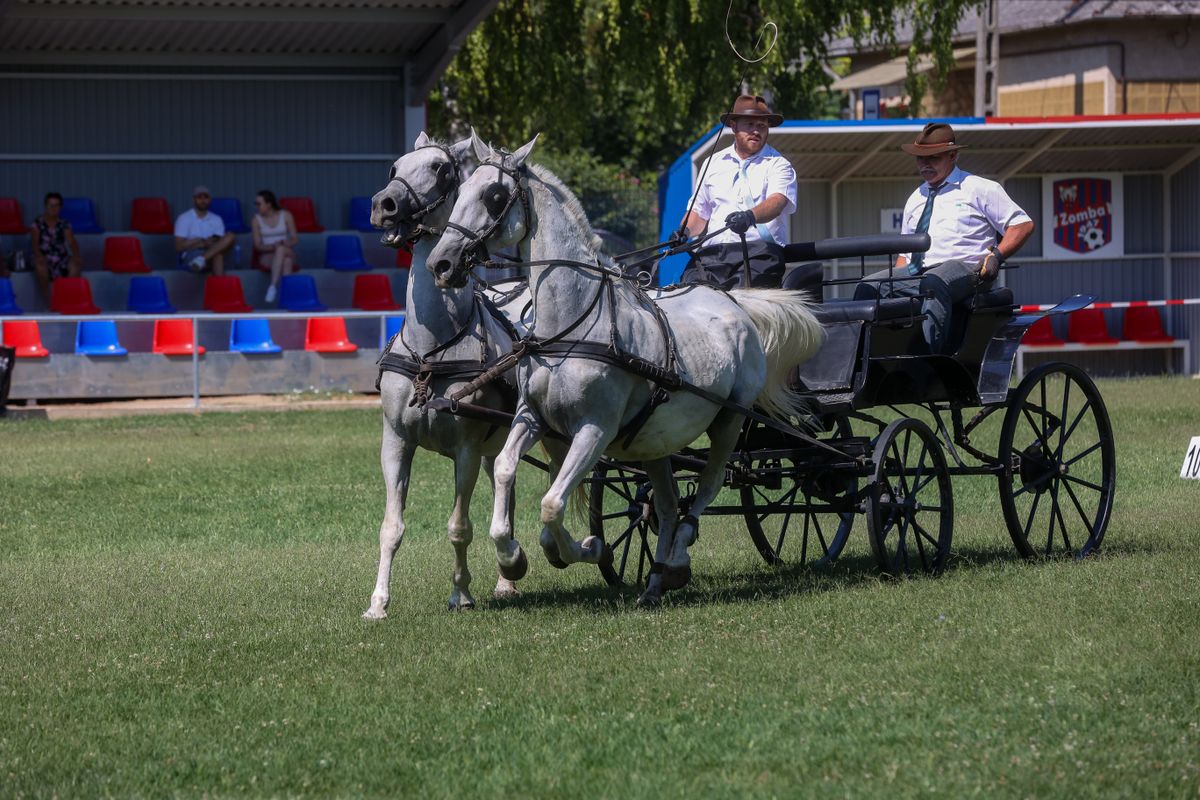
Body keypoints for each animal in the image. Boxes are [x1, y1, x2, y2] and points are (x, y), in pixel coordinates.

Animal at [362, 133, 532, 618]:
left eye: (440, 169)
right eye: (395, 166)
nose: (384, 204)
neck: (430, 349)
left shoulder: (466, 450)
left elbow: (459, 526)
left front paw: (461, 594)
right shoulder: (396, 442)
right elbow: (391, 527)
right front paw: (378, 602)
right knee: (507, 494)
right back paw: (506, 579)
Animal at [424, 134, 825, 604]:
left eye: (494, 196)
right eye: (462, 191)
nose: (441, 264)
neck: (572, 324)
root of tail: (734, 301)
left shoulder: (595, 430)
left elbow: (552, 504)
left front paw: (588, 548)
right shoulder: (533, 416)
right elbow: (507, 469)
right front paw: (514, 557)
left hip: (729, 420)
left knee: (707, 486)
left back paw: (677, 558)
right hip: (657, 440)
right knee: (667, 505)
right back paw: (656, 582)